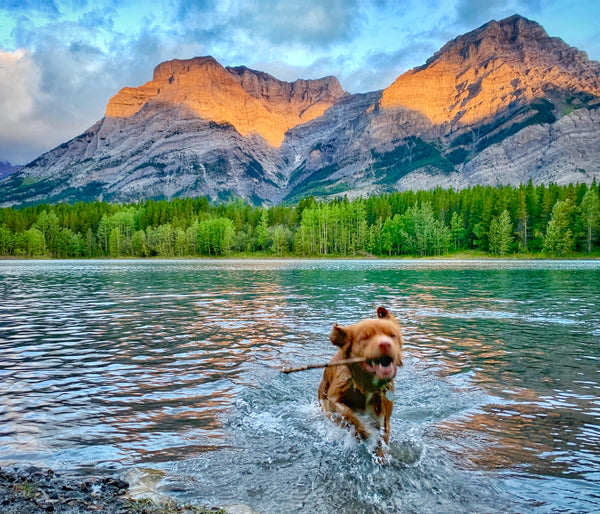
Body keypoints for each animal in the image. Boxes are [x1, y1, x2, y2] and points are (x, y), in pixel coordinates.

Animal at [318, 304, 404, 452]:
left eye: (392, 335)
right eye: (365, 338)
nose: (385, 344)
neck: (368, 383)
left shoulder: (385, 418)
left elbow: (383, 438)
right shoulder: (333, 401)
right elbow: (348, 413)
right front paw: (365, 432)